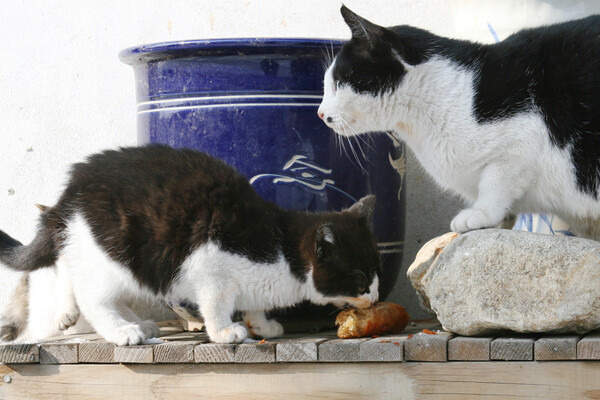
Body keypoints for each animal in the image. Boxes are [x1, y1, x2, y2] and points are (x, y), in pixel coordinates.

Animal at [0, 145, 380, 346]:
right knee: (92, 297)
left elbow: (255, 303)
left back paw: (138, 323)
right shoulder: (210, 269)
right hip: (112, 251)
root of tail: (73, 188)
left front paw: (262, 324)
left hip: (107, 255)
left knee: (72, 265)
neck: (282, 251)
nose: (376, 298)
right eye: (360, 279)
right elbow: (215, 304)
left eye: (376, 273)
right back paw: (122, 330)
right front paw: (224, 331)